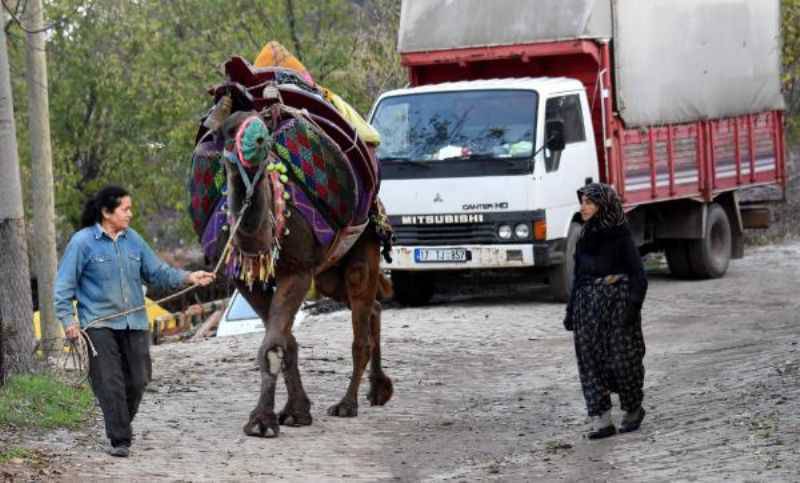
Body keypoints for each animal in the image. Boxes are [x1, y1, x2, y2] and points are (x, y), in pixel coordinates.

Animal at [191, 59, 396, 438]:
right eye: (228, 130)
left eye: (262, 127)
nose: (257, 140)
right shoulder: (246, 279)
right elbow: (285, 342)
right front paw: (295, 411)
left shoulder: (297, 270)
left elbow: (274, 344)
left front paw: (263, 421)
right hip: (329, 272)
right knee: (371, 306)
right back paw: (378, 389)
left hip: (363, 242)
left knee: (361, 320)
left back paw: (348, 403)